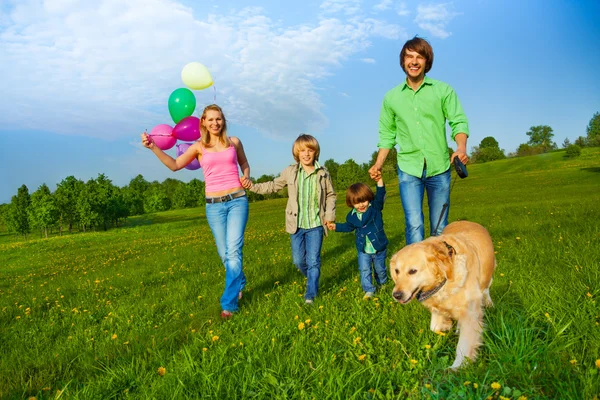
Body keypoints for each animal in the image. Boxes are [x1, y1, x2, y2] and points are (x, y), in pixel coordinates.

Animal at [392, 220, 494, 370]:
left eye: (413, 271)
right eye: (397, 271)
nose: (396, 295)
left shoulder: (471, 313)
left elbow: (464, 344)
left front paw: (457, 366)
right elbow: (434, 327)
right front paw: (446, 325)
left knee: (486, 289)